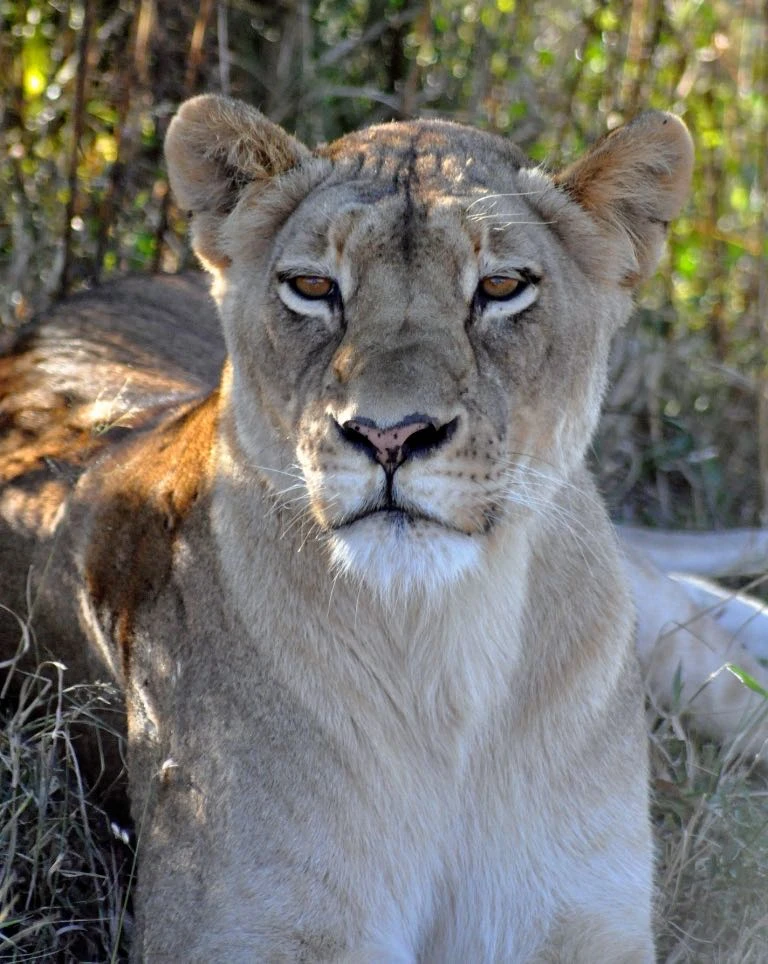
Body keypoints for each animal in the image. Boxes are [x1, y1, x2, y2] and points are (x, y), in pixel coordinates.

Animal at [0, 96, 697, 961]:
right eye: (312, 287)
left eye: (502, 286)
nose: (390, 435)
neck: (444, 660)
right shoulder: (244, 928)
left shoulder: (586, 917)